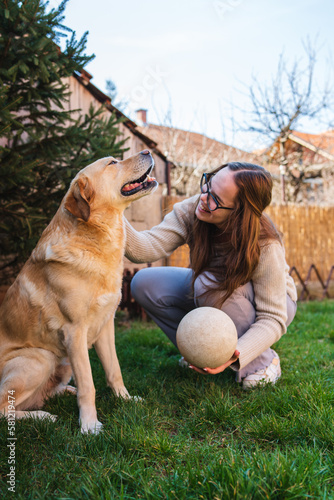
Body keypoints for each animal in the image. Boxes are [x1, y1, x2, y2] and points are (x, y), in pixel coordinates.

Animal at [0, 149, 157, 434]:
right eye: (112, 163)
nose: (147, 151)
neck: (98, 239)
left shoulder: (106, 327)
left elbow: (114, 370)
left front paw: (125, 399)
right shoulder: (75, 332)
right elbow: (89, 384)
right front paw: (89, 425)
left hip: (61, 362)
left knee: (46, 392)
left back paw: (62, 393)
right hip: (40, 357)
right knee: (5, 408)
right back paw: (43, 416)